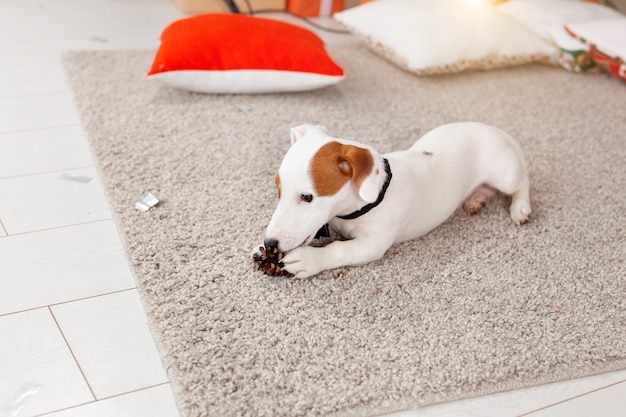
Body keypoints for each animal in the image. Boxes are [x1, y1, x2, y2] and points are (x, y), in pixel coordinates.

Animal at [251, 122, 528, 278]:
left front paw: (307, 259)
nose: (270, 242)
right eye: (278, 190)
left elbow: (339, 249)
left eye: (307, 197)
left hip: (505, 174)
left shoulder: (372, 244)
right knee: (486, 189)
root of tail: (496, 131)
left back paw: (520, 208)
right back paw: (475, 199)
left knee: (522, 182)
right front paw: (262, 251)